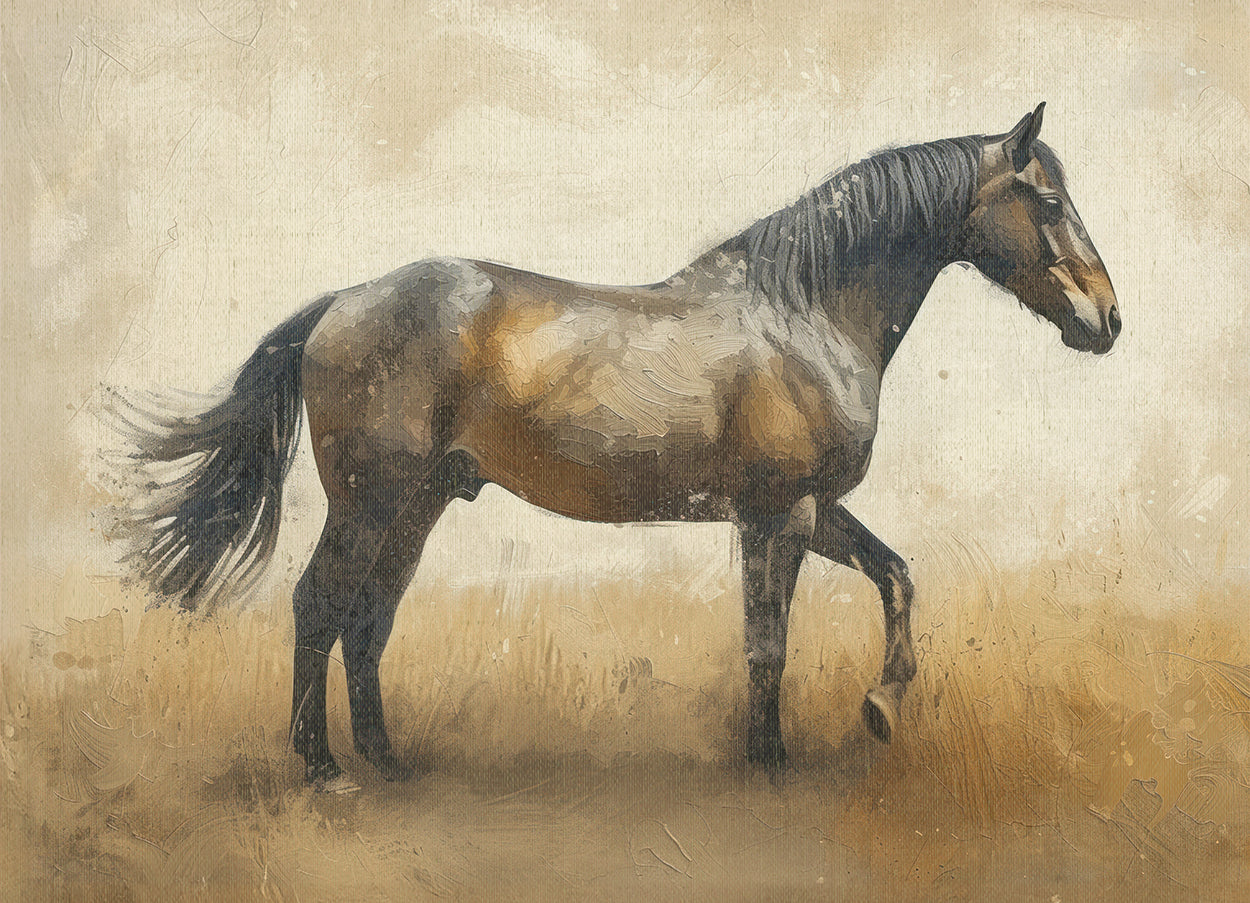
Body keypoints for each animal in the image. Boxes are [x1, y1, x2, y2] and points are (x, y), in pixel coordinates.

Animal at [111, 103, 1120, 789]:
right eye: (1046, 199)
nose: (1107, 319)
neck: (802, 311)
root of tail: (344, 300)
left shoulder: (814, 509)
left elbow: (897, 576)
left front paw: (879, 706)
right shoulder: (778, 514)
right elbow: (769, 642)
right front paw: (771, 760)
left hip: (418, 507)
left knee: (368, 621)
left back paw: (388, 760)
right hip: (373, 501)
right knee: (320, 605)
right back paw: (323, 768)